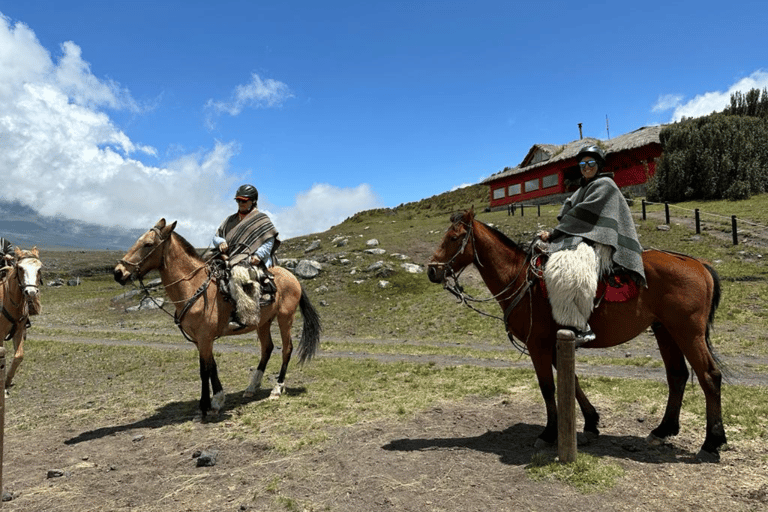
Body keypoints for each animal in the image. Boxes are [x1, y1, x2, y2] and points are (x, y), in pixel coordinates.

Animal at [0, 248, 43, 388]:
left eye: (39, 269)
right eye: (20, 268)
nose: (31, 292)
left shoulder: (18, 331)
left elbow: (19, 356)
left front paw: (7, 381)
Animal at [112, 219, 320, 416]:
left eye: (148, 244)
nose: (118, 273)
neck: (193, 287)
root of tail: (292, 276)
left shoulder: (205, 337)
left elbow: (204, 370)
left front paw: (204, 406)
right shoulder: (201, 340)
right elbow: (212, 366)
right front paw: (218, 400)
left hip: (285, 318)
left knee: (287, 349)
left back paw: (277, 388)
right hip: (262, 322)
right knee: (267, 348)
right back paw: (252, 387)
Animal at [428, 208, 728, 460]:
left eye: (454, 238)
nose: (432, 270)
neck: (520, 278)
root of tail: (698, 264)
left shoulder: (538, 345)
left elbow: (548, 388)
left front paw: (549, 432)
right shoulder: (556, 343)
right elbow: (571, 380)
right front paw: (591, 421)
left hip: (688, 333)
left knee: (709, 377)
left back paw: (712, 442)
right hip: (665, 330)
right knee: (677, 376)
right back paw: (663, 430)